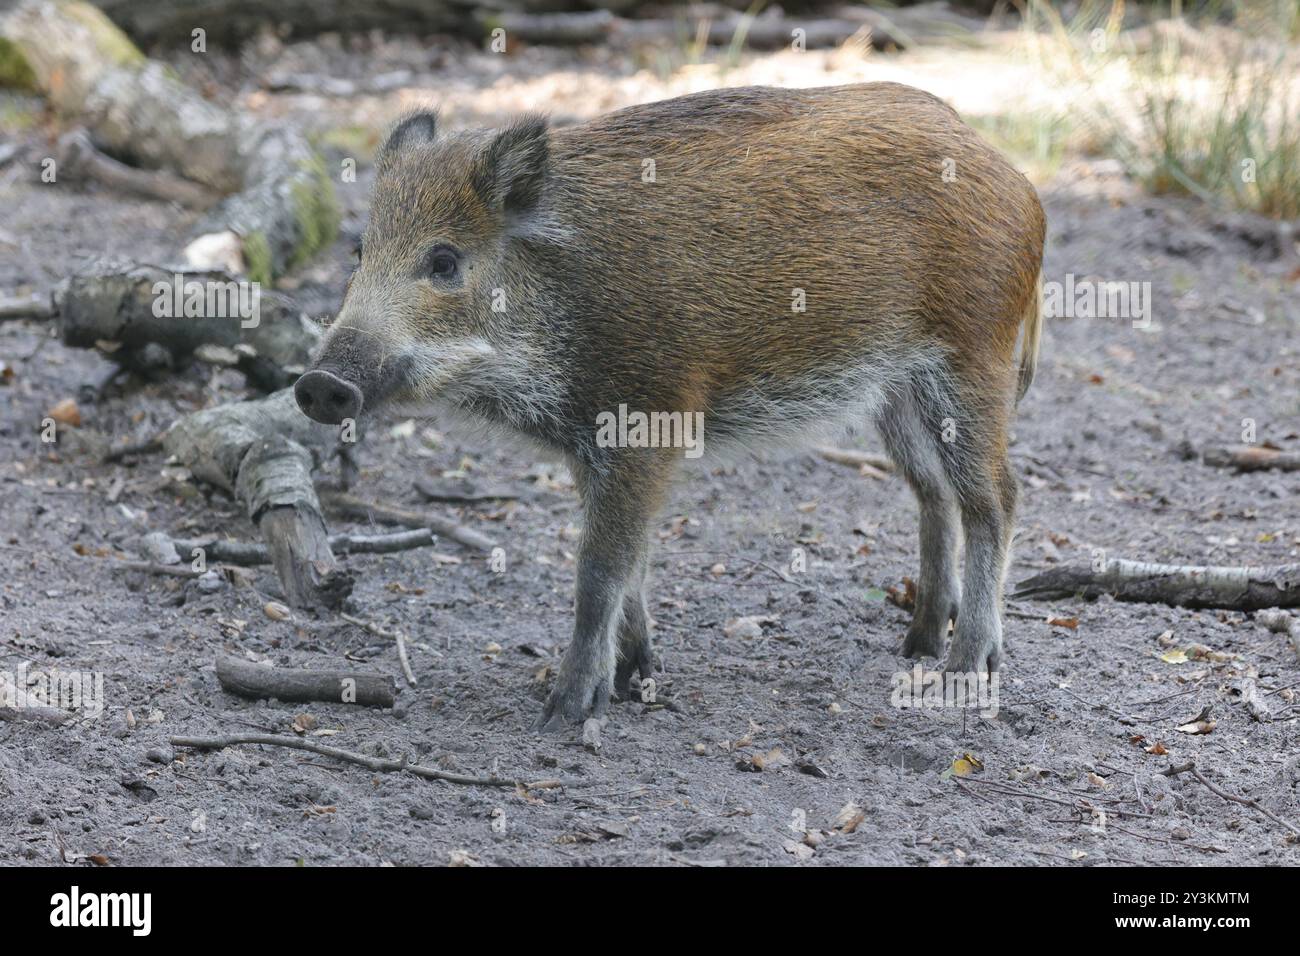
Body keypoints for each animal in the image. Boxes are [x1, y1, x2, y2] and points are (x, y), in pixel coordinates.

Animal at [294, 83, 1045, 731]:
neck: (560, 294)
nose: (319, 384)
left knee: (996, 497)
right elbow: (633, 560)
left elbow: (600, 568)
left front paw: (566, 712)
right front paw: (636, 678)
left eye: (445, 261)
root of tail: (1018, 180)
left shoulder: (645, 422)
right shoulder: (590, 445)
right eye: (359, 251)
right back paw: (917, 642)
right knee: (933, 493)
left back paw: (964, 669)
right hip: (895, 395)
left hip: (972, 361)